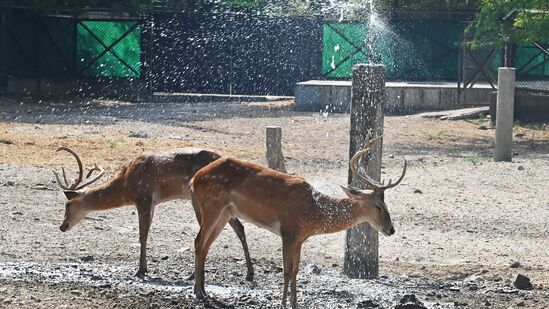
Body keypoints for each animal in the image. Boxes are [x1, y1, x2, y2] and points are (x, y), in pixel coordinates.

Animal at [52, 147, 254, 280]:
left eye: (67, 204)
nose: (62, 226)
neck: (125, 185)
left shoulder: (143, 197)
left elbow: (143, 235)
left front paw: (140, 270)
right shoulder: (152, 203)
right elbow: (146, 234)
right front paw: (143, 269)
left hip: (203, 202)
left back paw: (192, 275)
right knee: (239, 227)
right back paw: (249, 274)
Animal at [191, 135, 404, 308]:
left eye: (386, 204)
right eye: (378, 206)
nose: (391, 229)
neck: (314, 212)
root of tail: (194, 179)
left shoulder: (300, 238)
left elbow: (295, 271)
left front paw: (295, 303)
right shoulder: (289, 231)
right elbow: (286, 271)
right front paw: (283, 303)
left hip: (225, 213)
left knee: (206, 246)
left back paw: (204, 290)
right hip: (211, 206)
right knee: (198, 242)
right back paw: (198, 292)